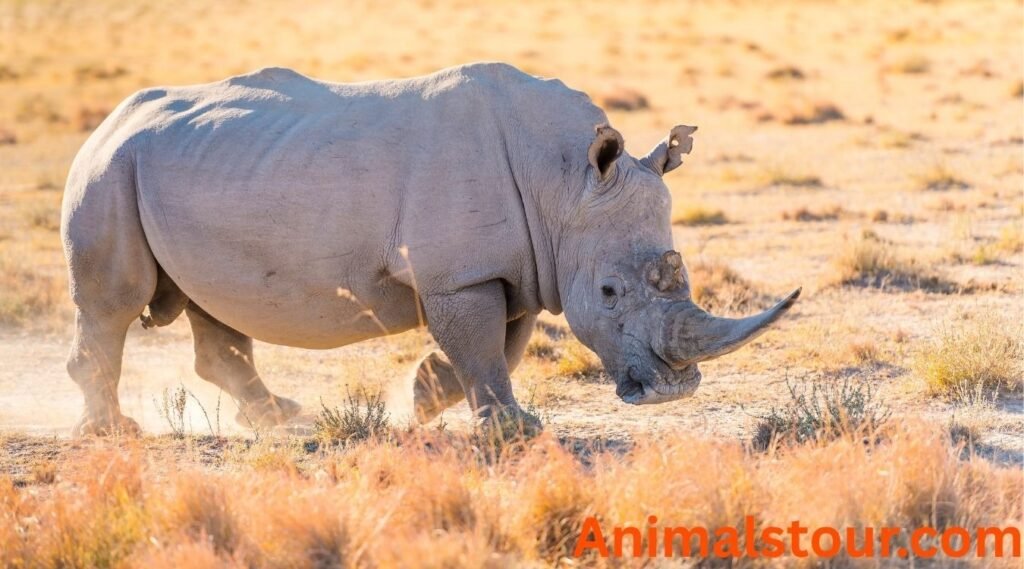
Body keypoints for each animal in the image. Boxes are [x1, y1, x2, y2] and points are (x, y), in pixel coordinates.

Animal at [61, 63, 799, 436]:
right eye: (610, 292)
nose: (672, 392)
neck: (564, 183)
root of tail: (109, 120)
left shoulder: (514, 267)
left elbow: (500, 345)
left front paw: (421, 401)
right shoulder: (462, 274)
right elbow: (483, 347)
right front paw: (516, 430)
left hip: (181, 170)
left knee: (213, 304)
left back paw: (279, 417)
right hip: (109, 170)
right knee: (114, 302)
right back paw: (113, 433)